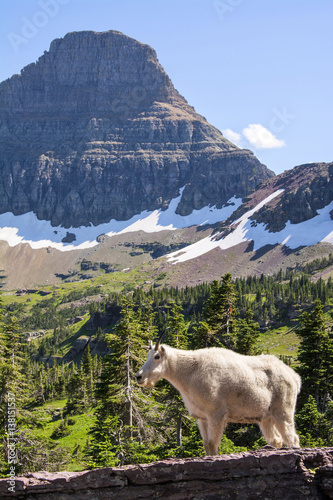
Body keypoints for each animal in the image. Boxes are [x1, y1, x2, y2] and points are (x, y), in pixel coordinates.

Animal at [135, 332, 300, 458]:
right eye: (148, 355)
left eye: (157, 356)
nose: (139, 376)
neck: (189, 373)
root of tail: (294, 377)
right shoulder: (202, 417)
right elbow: (206, 444)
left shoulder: (216, 414)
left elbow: (213, 444)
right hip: (266, 417)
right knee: (276, 440)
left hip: (283, 410)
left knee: (292, 437)